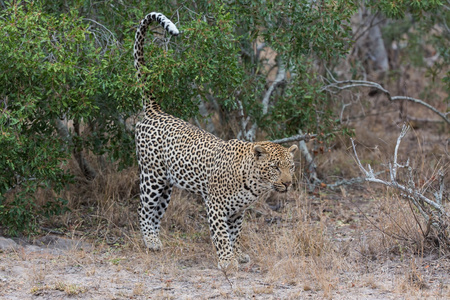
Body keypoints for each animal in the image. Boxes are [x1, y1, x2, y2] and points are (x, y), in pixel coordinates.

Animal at [132, 11, 298, 270]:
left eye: (291, 167)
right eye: (275, 168)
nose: (288, 183)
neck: (253, 182)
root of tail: (155, 111)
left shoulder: (238, 211)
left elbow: (235, 234)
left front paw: (238, 255)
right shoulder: (216, 205)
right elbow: (221, 234)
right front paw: (227, 261)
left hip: (168, 184)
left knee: (156, 212)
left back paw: (157, 241)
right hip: (152, 176)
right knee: (143, 208)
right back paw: (150, 241)